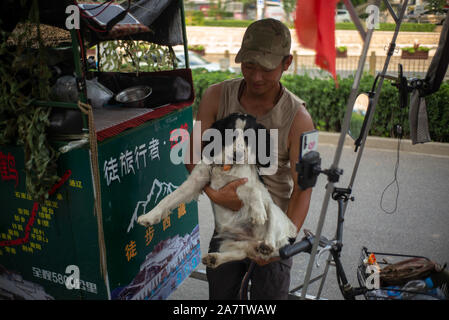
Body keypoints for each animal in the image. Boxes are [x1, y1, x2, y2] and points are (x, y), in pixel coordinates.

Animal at [136, 112, 298, 268]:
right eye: (230, 133)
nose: (238, 154)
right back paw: (215, 258)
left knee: (273, 237)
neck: (226, 166)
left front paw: (258, 213)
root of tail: (254, 241)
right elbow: (167, 199)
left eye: (249, 137)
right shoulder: (196, 182)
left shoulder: (242, 183)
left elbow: (254, 189)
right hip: (226, 241)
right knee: (241, 253)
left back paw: (266, 245)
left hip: (274, 212)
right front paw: (149, 216)